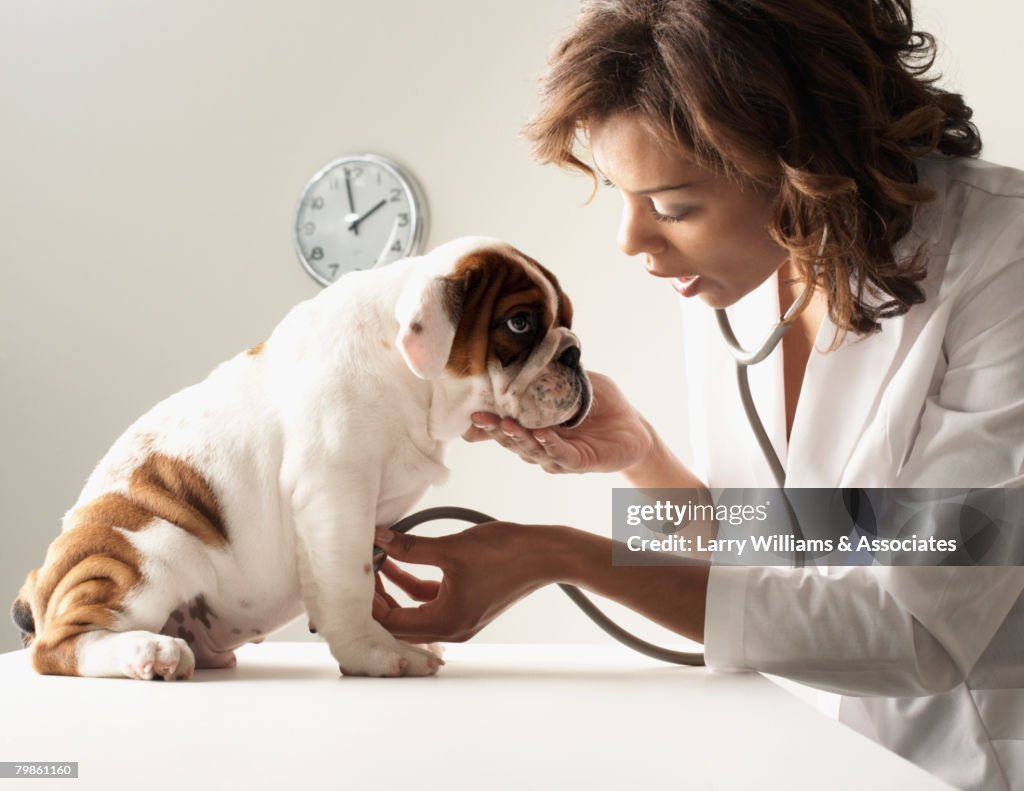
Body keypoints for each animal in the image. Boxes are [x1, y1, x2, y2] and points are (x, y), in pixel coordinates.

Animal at [12, 236, 593, 680]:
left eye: (566, 319)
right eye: (520, 324)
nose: (575, 353)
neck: (404, 373)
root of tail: (39, 581)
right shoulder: (337, 493)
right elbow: (349, 584)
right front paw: (377, 653)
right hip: (152, 549)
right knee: (57, 646)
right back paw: (149, 652)